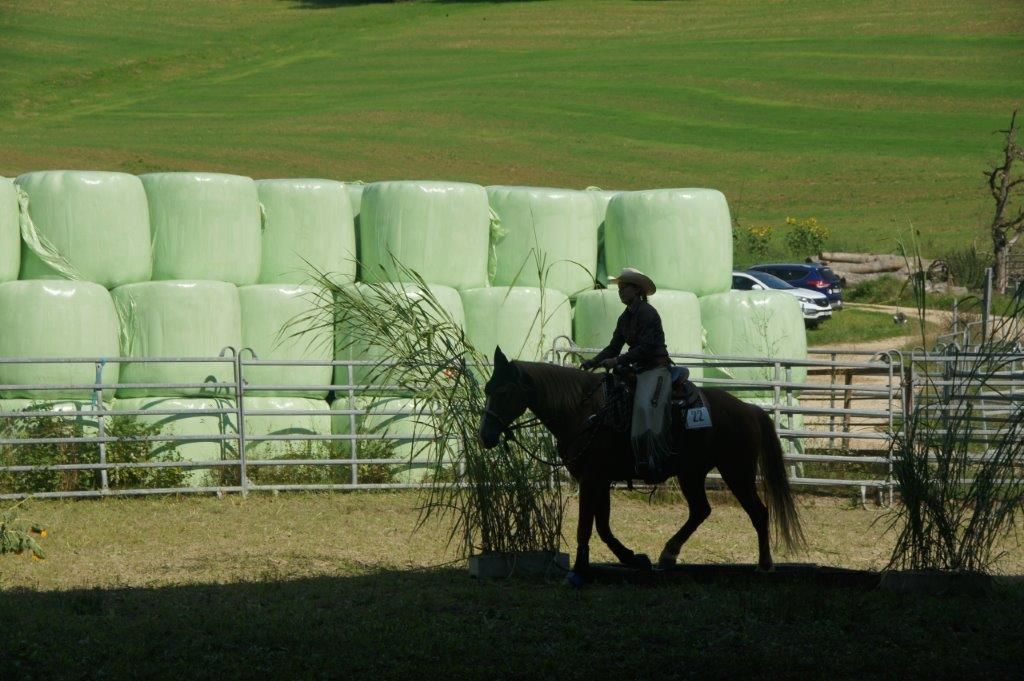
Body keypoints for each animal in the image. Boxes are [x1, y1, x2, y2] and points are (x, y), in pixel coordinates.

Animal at [478, 346, 804, 578]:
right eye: (486, 390)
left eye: (503, 391)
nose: (485, 436)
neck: (586, 412)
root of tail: (749, 409)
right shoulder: (600, 479)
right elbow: (602, 525)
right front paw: (634, 558)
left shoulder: (592, 476)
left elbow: (587, 524)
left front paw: (579, 570)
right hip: (692, 473)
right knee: (701, 510)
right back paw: (668, 555)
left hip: (736, 472)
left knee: (758, 512)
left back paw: (764, 564)